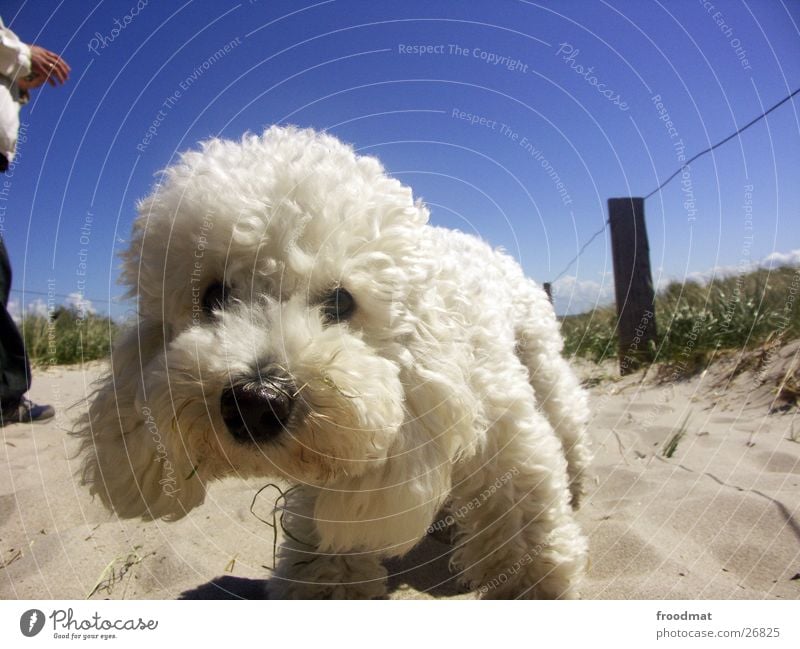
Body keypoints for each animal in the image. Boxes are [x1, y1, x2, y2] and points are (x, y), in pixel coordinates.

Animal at [76, 125, 588, 596]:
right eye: (213, 297)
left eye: (341, 301)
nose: (256, 402)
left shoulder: (503, 439)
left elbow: (524, 526)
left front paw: (538, 584)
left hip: (540, 360)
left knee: (567, 418)